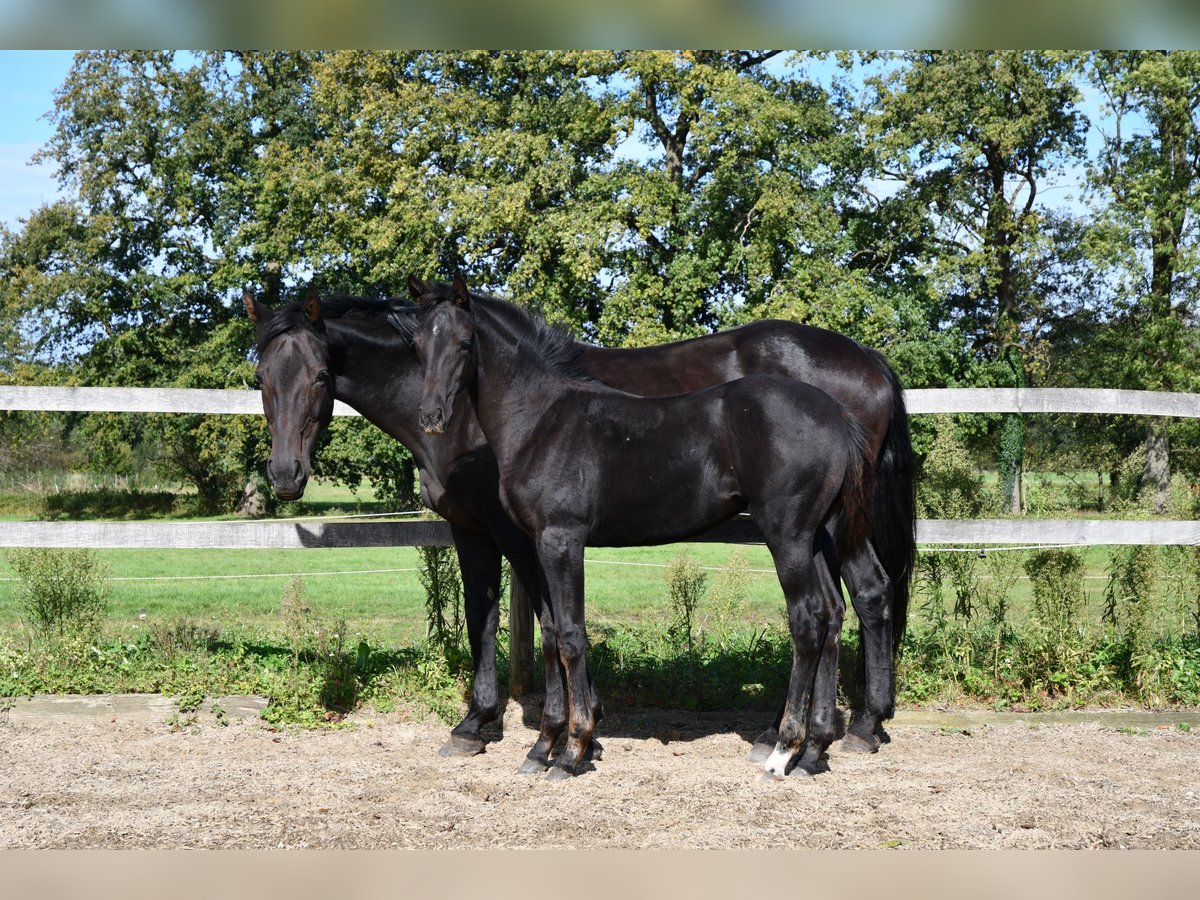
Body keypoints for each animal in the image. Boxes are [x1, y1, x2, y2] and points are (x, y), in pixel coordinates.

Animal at [417, 277, 878, 782]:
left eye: (464, 343)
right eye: (418, 342)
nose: (432, 416)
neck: (542, 419)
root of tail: (838, 414)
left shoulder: (562, 540)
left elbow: (572, 636)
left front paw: (573, 752)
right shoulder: (535, 545)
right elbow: (551, 634)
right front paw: (541, 749)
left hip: (787, 536)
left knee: (808, 620)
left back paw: (782, 751)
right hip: (817, 536)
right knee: (832, 613)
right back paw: (814, 751)